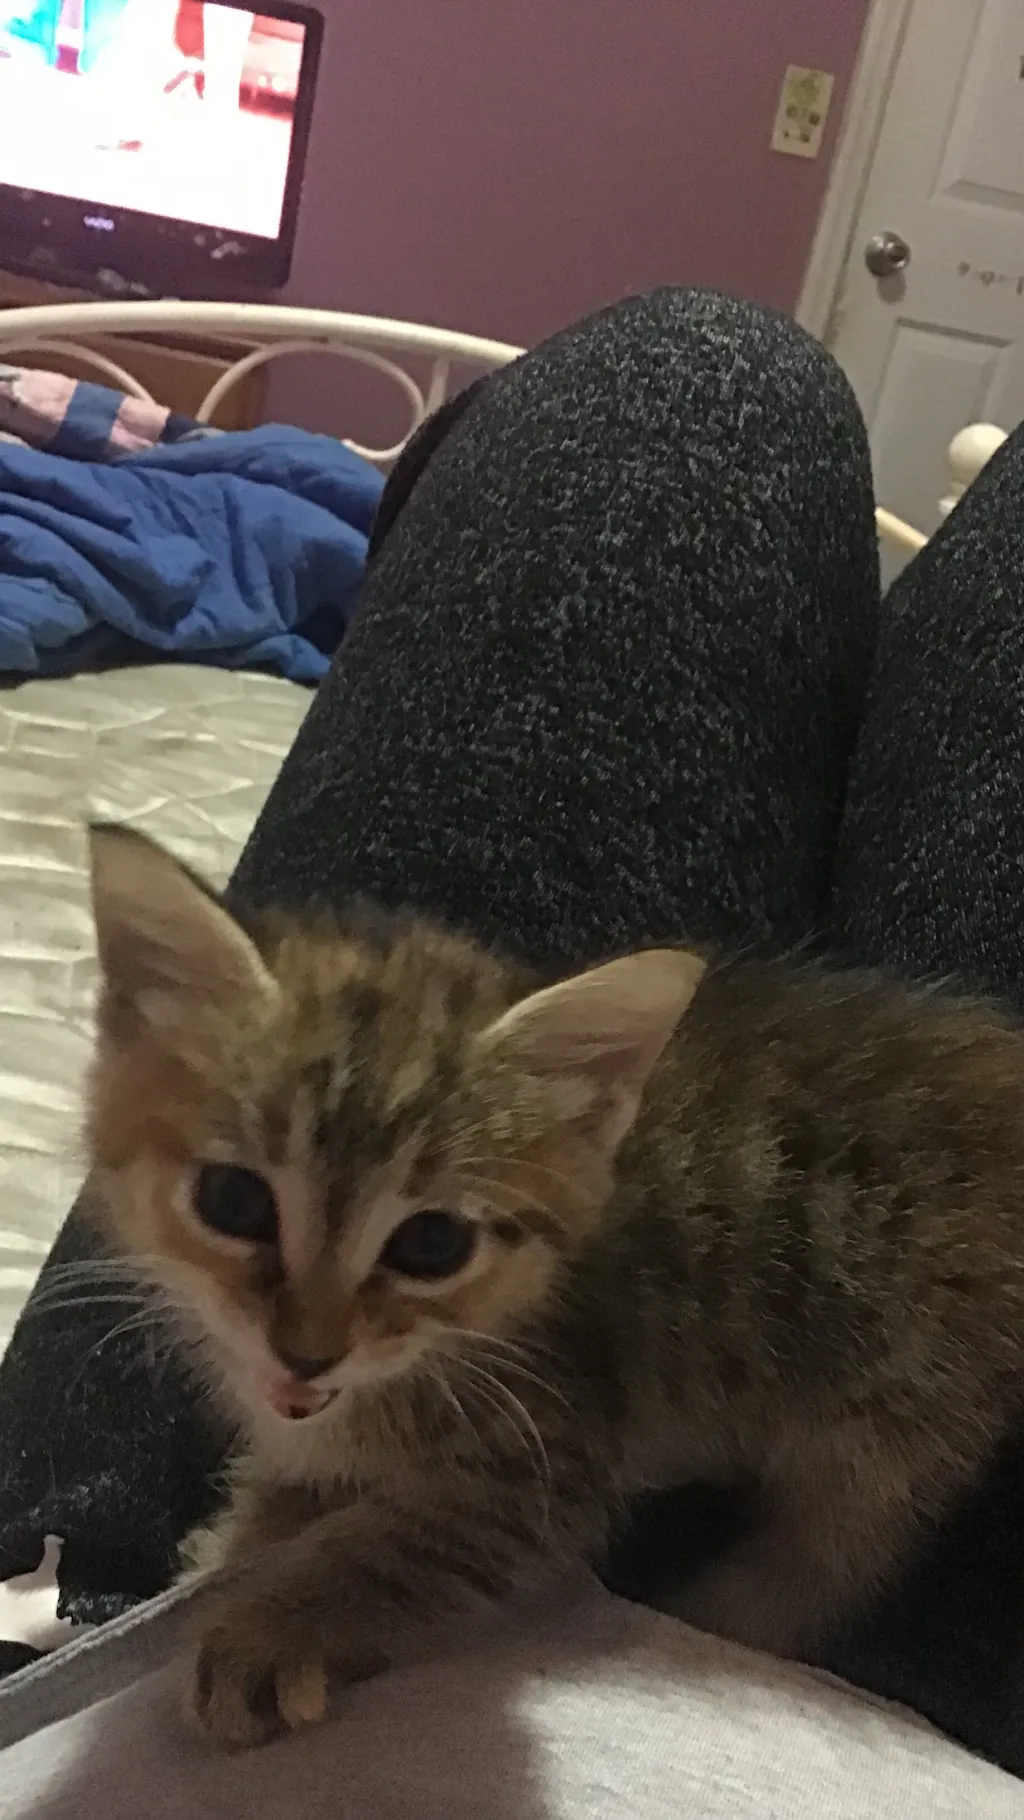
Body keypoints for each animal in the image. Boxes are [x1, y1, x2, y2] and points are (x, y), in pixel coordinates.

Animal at [85, 823, 1024, 1751]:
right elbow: (292, 1491)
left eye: (432, 1243)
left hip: (897, 1406)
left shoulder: (547, 1458)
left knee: (842, 1547)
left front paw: (271, 1632)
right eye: (234, 1201)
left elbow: (397, 1552)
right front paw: (237, 1540)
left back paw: (728, 1611)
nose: (308, 1354)